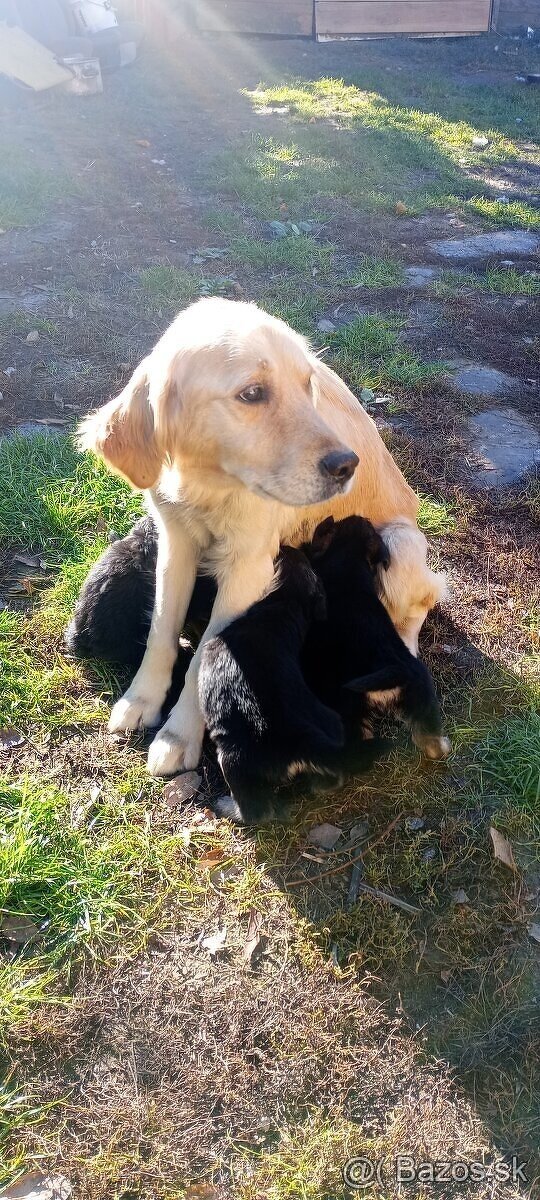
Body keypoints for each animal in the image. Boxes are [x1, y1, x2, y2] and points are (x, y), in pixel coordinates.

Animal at [199, 549, 388, 825]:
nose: (289, 548)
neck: (283, 607)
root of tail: (303, 741)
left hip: (234, 760)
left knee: (255, 810)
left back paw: (227, 808)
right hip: (332, 723)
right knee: (335, 776)